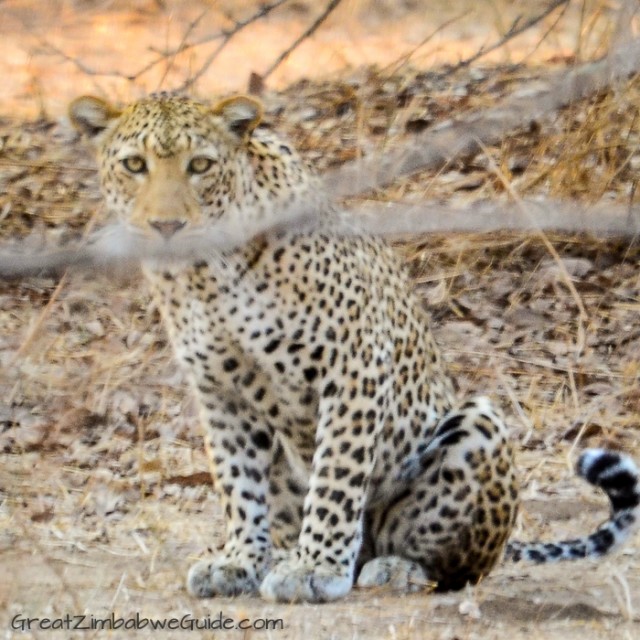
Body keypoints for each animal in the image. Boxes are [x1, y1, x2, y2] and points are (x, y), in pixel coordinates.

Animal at [70, 92, 640, 604]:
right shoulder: (219, 391)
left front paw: (316, 569)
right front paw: (239, 561)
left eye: (201, 165)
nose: (167, 227)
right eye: (135, 165)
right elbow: (238, 484)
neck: (205, 276)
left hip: (478, 425)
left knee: (459, 565)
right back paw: (281, 555)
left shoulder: (353, 366)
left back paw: (395, 567)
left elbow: (336, 477)